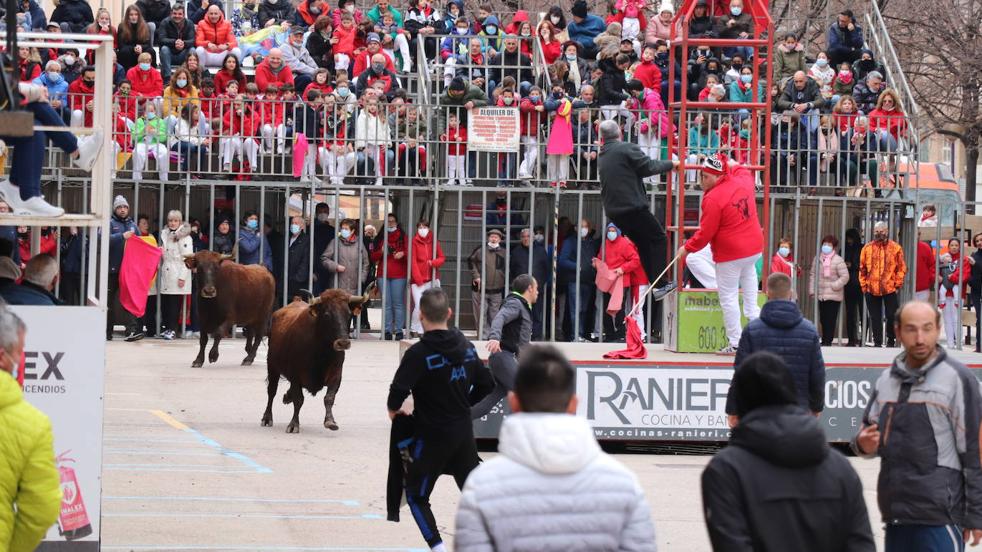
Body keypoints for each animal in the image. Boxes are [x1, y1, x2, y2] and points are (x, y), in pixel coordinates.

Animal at [262, 286, 372, 434]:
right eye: (326, 314)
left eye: (349, 314)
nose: (343, 343)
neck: (321, 352)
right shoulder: (296, 376)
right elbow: (298, 400)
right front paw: (294, 424)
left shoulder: (336, 375)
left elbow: (329, 398)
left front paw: (330, 421)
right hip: (272, 367)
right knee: (271, 391)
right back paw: (267, 418)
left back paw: (286, 397)